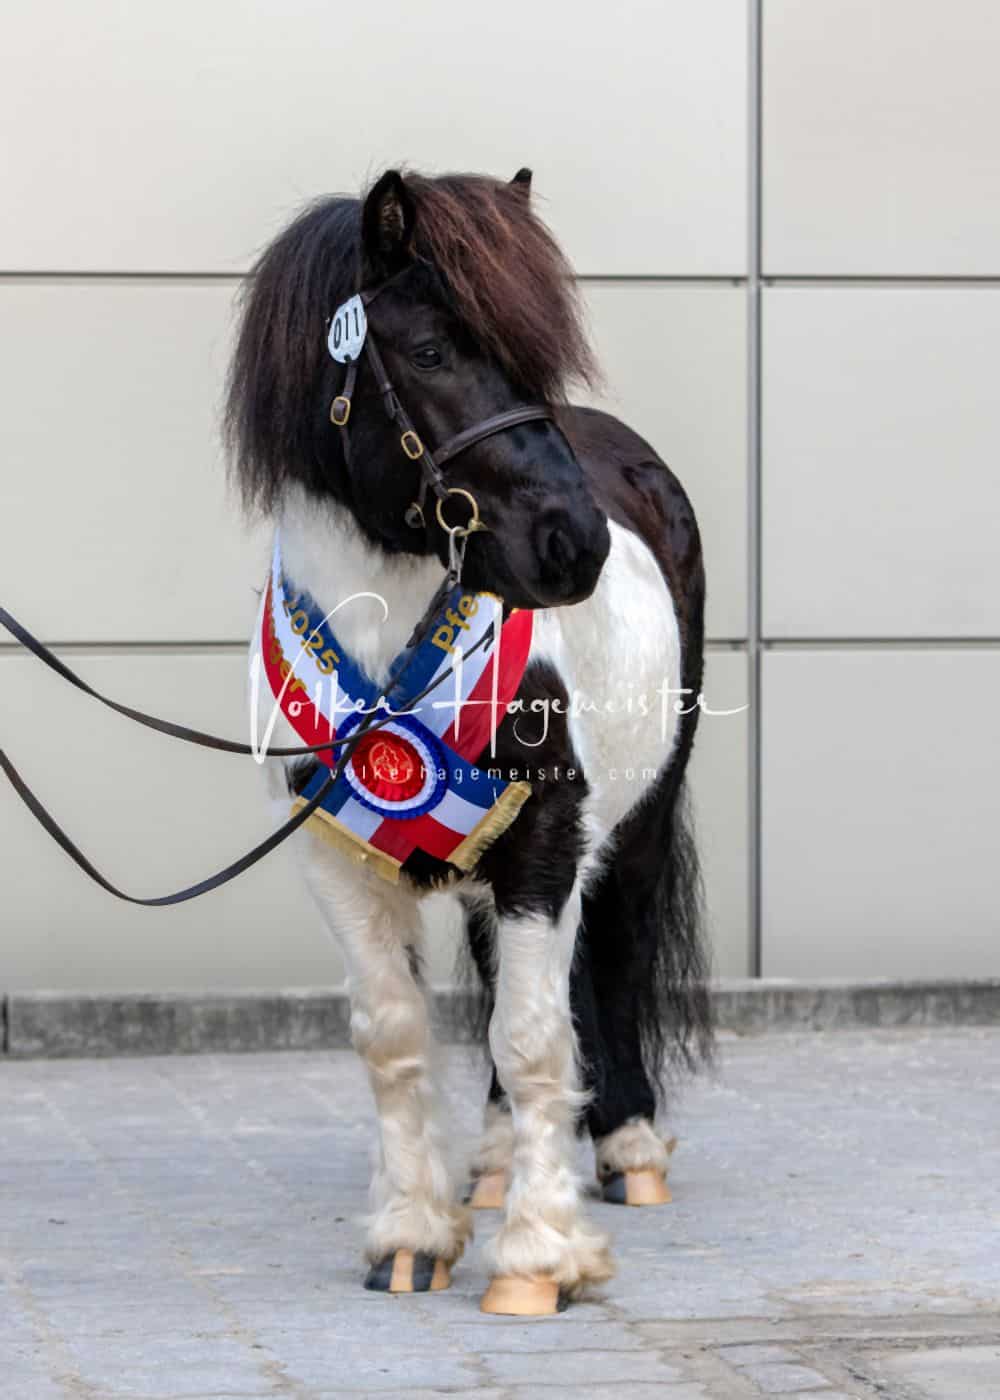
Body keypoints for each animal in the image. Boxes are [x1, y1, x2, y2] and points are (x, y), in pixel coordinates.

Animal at [226, 166, 712, 1315]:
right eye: (432, 351)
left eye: (531, 355)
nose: (572, 545)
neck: (388, 651)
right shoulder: (338, 858)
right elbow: (397, 1033)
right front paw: (412, 1237)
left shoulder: (547, 838)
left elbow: (536, 1036)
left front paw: (538, 1259)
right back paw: (489, 1167)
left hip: (635, 821)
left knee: (615, 958)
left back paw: (628, 1149)